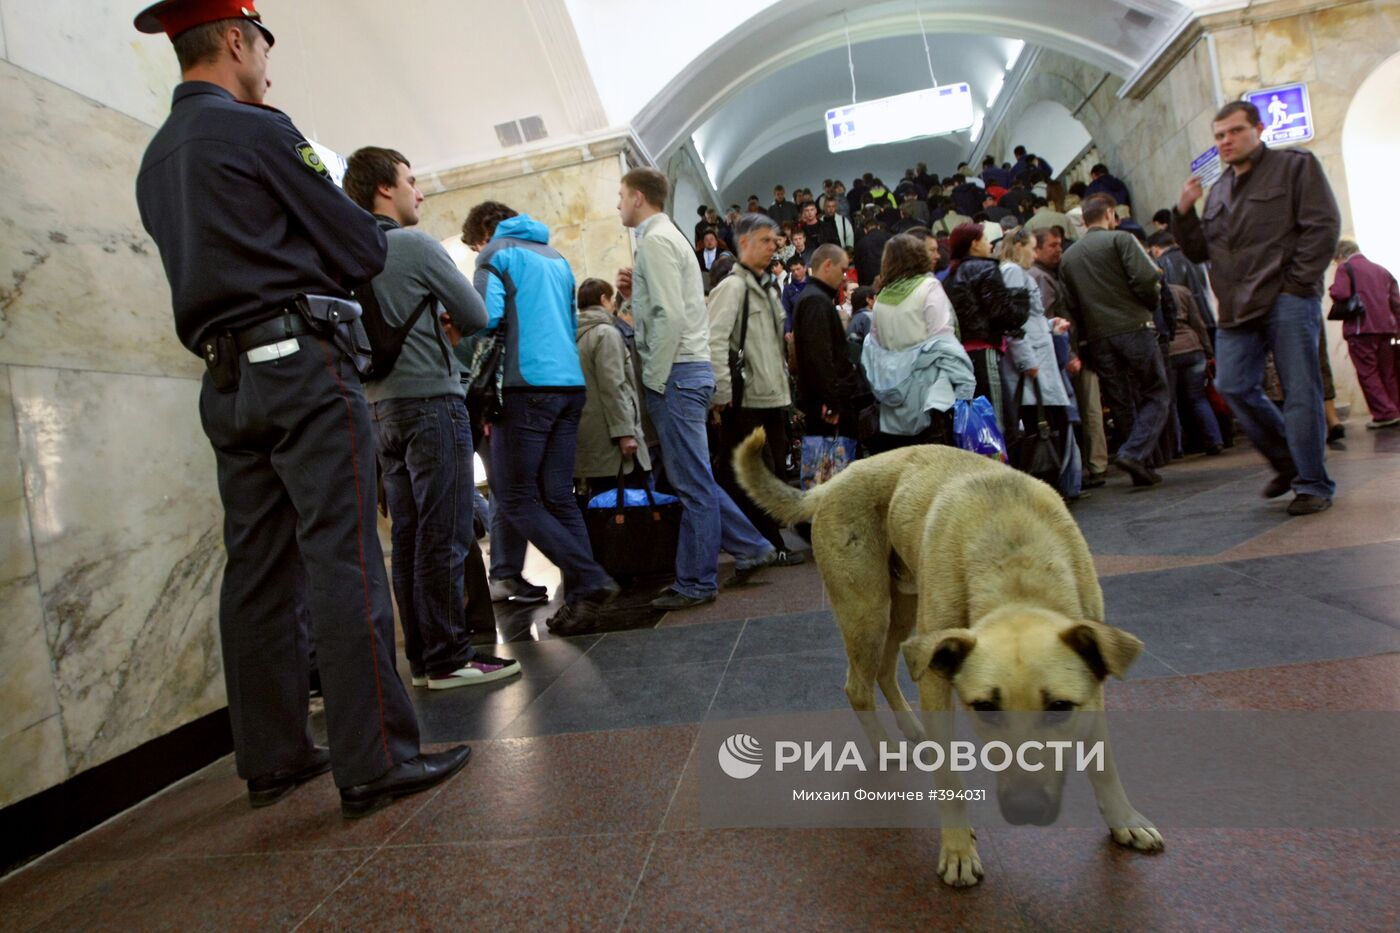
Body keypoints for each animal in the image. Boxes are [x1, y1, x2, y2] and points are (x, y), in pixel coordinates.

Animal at [733, 425, 1159, 885]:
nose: (1026, 809)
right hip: (868, 610)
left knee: (886, 669)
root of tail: (830, 483)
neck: (1017, 565)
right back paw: (887, 747)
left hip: (902, 610)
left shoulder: (1092, 683)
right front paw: (957, 850)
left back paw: (911, 729)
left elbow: (1104, 762)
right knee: (858, 686)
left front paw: (1124, 819)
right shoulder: (940, 677)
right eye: (985, 708)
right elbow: (949, 776)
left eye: (1060, 708)